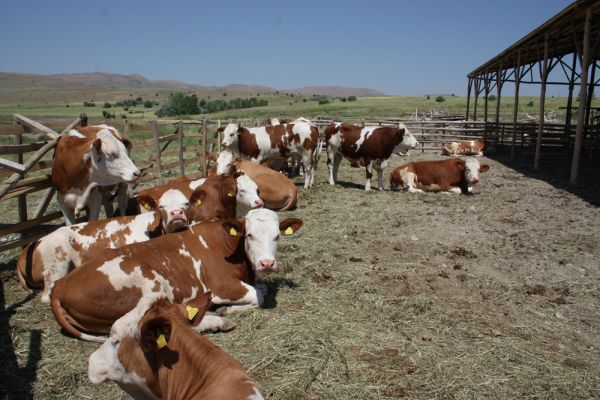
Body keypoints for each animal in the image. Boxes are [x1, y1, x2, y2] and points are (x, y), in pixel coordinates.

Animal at [51, 208, 302, 342]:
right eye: (249, 235)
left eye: (277, 236)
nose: (267, 263)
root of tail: (60, 285)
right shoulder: (221, 286)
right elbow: (258, 296)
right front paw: (227, 308)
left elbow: (263, 288)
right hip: (151, 283)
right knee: (127, 327)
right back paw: (216, 319)